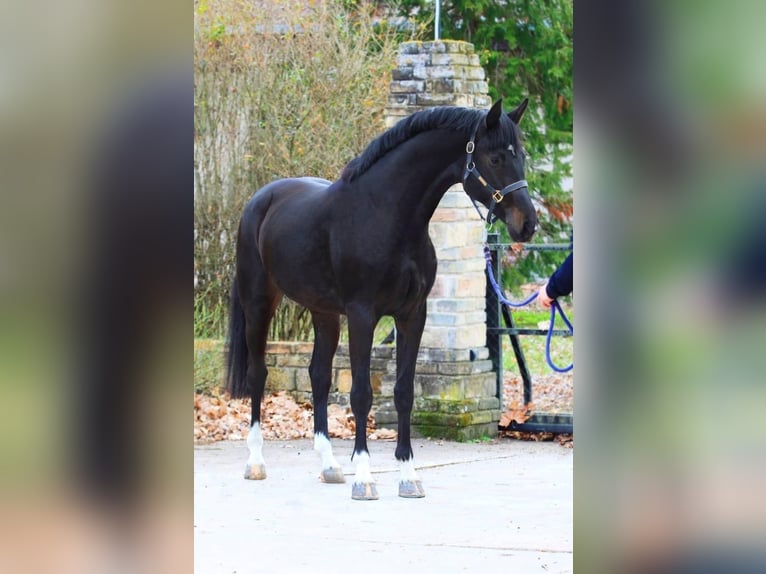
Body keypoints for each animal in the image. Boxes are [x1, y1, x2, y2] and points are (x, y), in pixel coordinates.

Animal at [228, 99, 540, 500]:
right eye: (496, 157)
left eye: (522, 156)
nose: (527, 224)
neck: (387, 215)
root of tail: (260, 199)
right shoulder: (363, 315)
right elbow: (361, 394)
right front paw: (364, 477)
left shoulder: (412, 315)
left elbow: (404, 392)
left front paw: (408, 475)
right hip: (259, 303)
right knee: (258, 373)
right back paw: (256, 462)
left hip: (324, 312)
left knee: (318, 375)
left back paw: (329, 465)